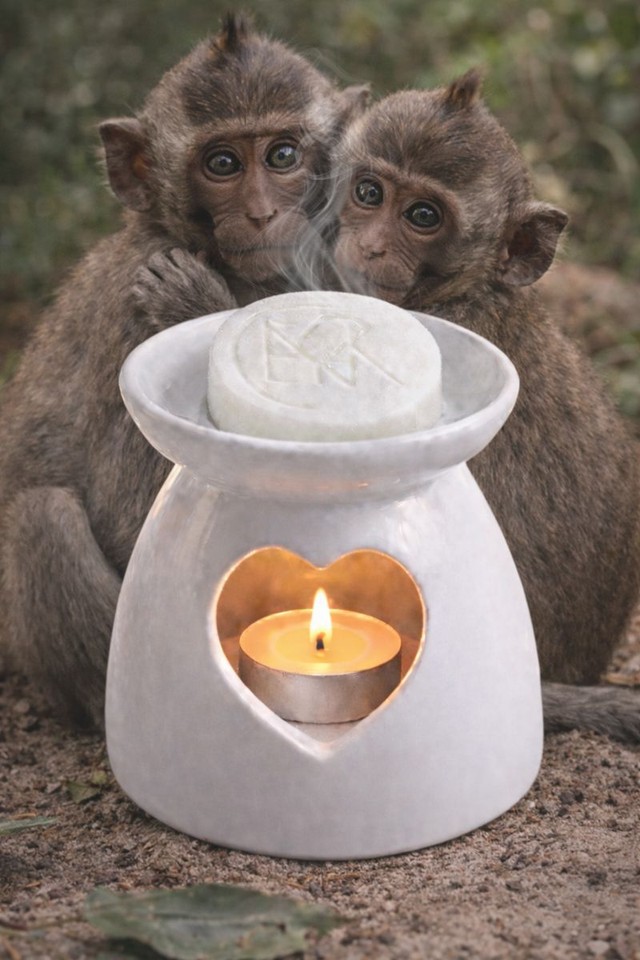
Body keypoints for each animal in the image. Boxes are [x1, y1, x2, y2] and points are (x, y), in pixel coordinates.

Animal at [0, 14, 368, 728]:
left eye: (283, 155)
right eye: (222, 164)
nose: (260, 213)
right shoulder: (132, 314)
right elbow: (140, 517)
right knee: (41, 516)